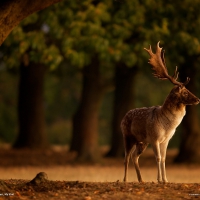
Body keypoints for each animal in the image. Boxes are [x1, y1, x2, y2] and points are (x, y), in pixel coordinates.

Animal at [121, 42, 199, 183]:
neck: (168, 126)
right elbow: (157, 158)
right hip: (127, 136)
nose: (198, 99)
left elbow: (163, 159)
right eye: (185, 92)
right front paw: (158, 179)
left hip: (142, 141)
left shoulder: (165, 140)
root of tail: (123, 117)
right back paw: (125, 180)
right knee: (126, 158)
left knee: (135, 156)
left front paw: (165, 179)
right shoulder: (155, 138)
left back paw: (141, 180)